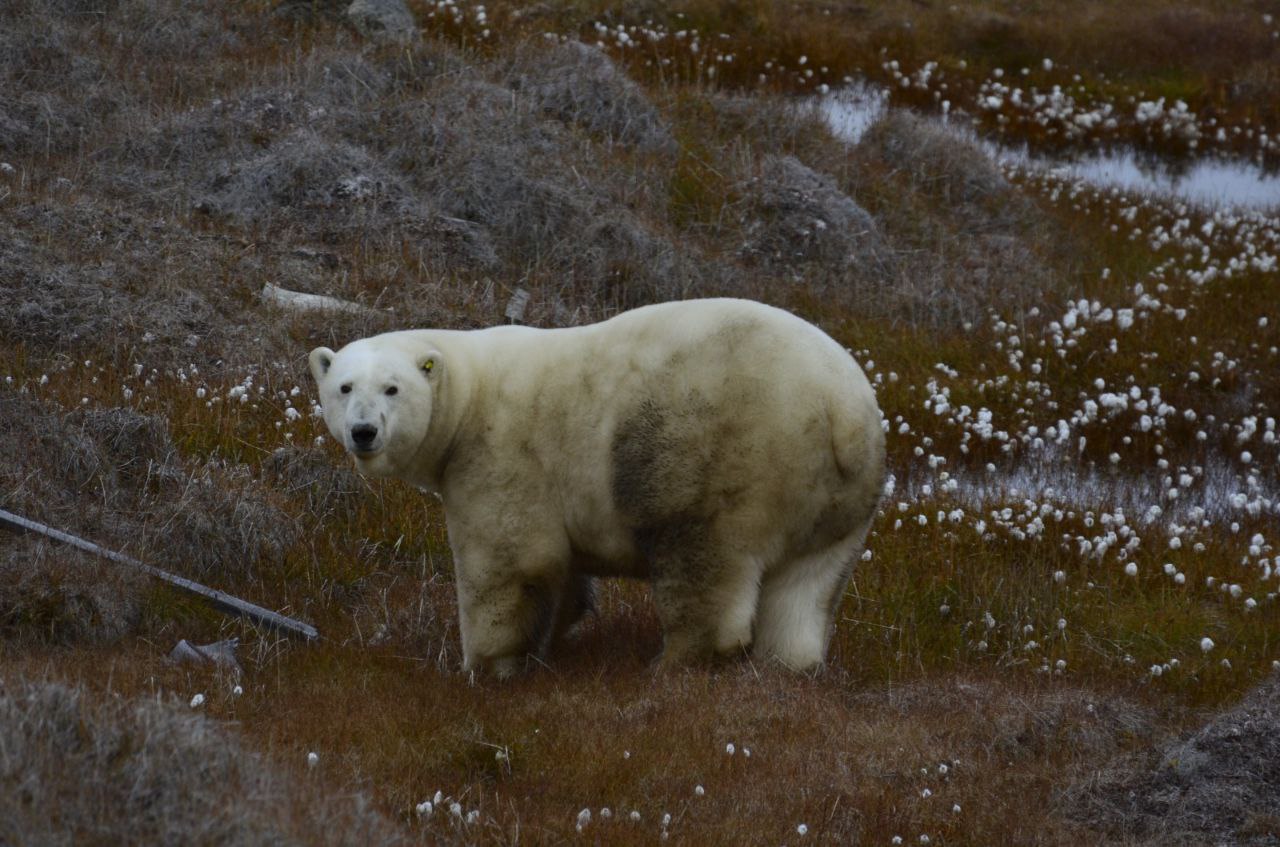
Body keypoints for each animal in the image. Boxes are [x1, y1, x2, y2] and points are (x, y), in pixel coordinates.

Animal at [312, 301, 880, 680]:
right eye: (344, 386)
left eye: (392, 388)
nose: (363, 431)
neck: (471, 392)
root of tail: (844, 412)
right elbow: (562, 571)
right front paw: (553, 639)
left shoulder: (501, 454)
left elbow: (511, 560)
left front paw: (484, 666)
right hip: (840, 500)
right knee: (807, 586)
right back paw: (787, 666)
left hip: (725, 458)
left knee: (703, 560)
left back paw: (671, 663)